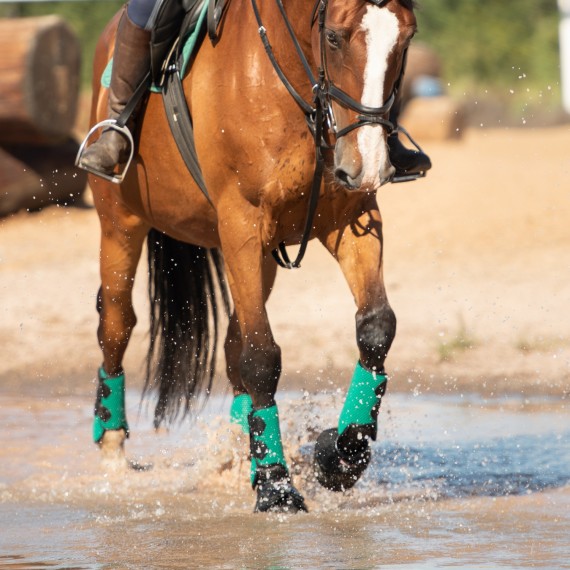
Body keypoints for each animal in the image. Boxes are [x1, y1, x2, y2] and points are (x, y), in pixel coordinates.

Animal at [86, 0, 418, 512]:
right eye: (335, 38)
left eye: (406, 39)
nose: (369, 164)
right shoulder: (240, 224)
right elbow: (262, 357)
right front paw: (277, 488)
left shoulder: (351, 216)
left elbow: (376, 329)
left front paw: (341, 454)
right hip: (121, 222)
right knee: (117, 323)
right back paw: (112, 448)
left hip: (261, 257)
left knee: (232, 345)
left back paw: (243, 456)